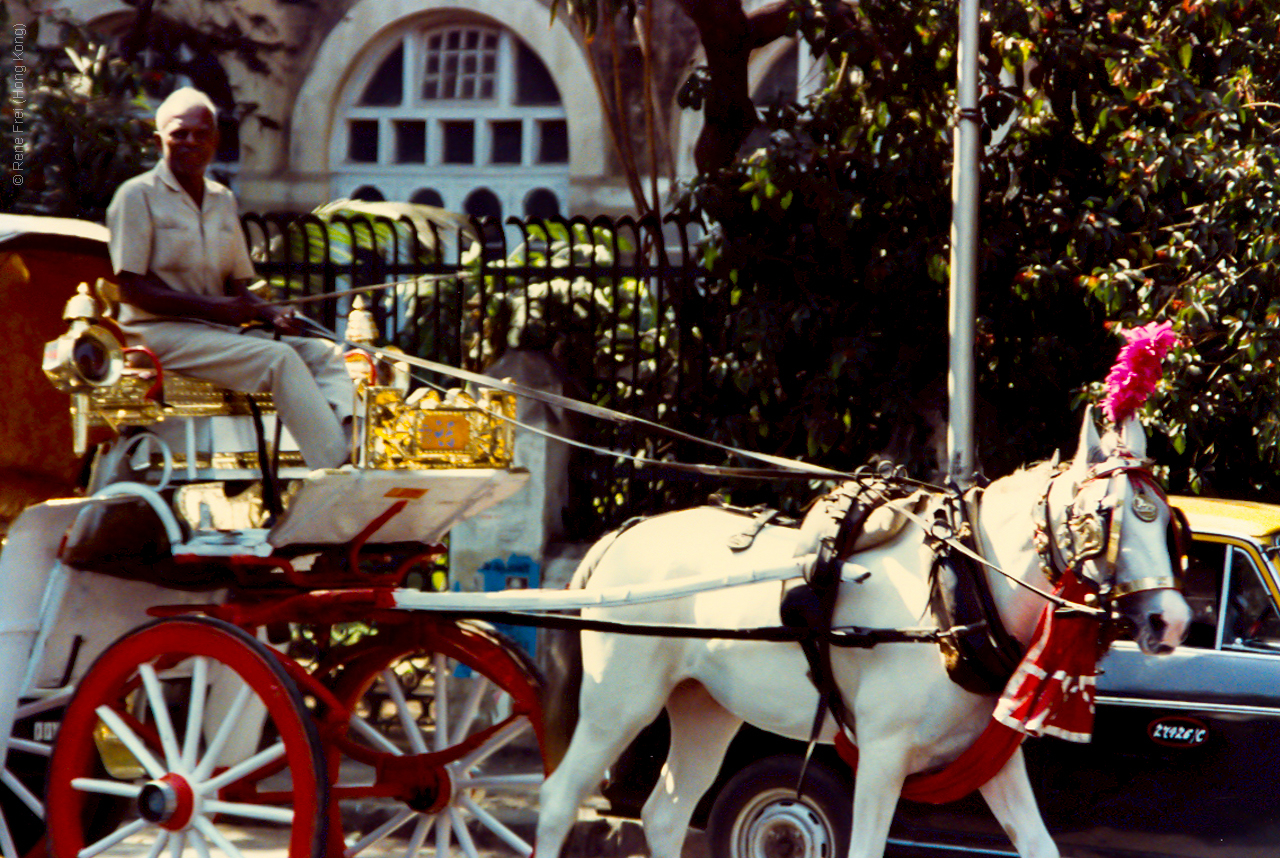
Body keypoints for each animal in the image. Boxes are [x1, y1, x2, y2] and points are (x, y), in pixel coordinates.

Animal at [537, 412, 1187, 858]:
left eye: (1165, 517)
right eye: (1106, 517)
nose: (1172, 621)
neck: (960, 590)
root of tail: (624, 533)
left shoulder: (990, 763)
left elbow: (1039, 846)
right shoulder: (881, 754)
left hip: (706, 709)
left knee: (666, 815)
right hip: (619, 705)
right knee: (559, 800)